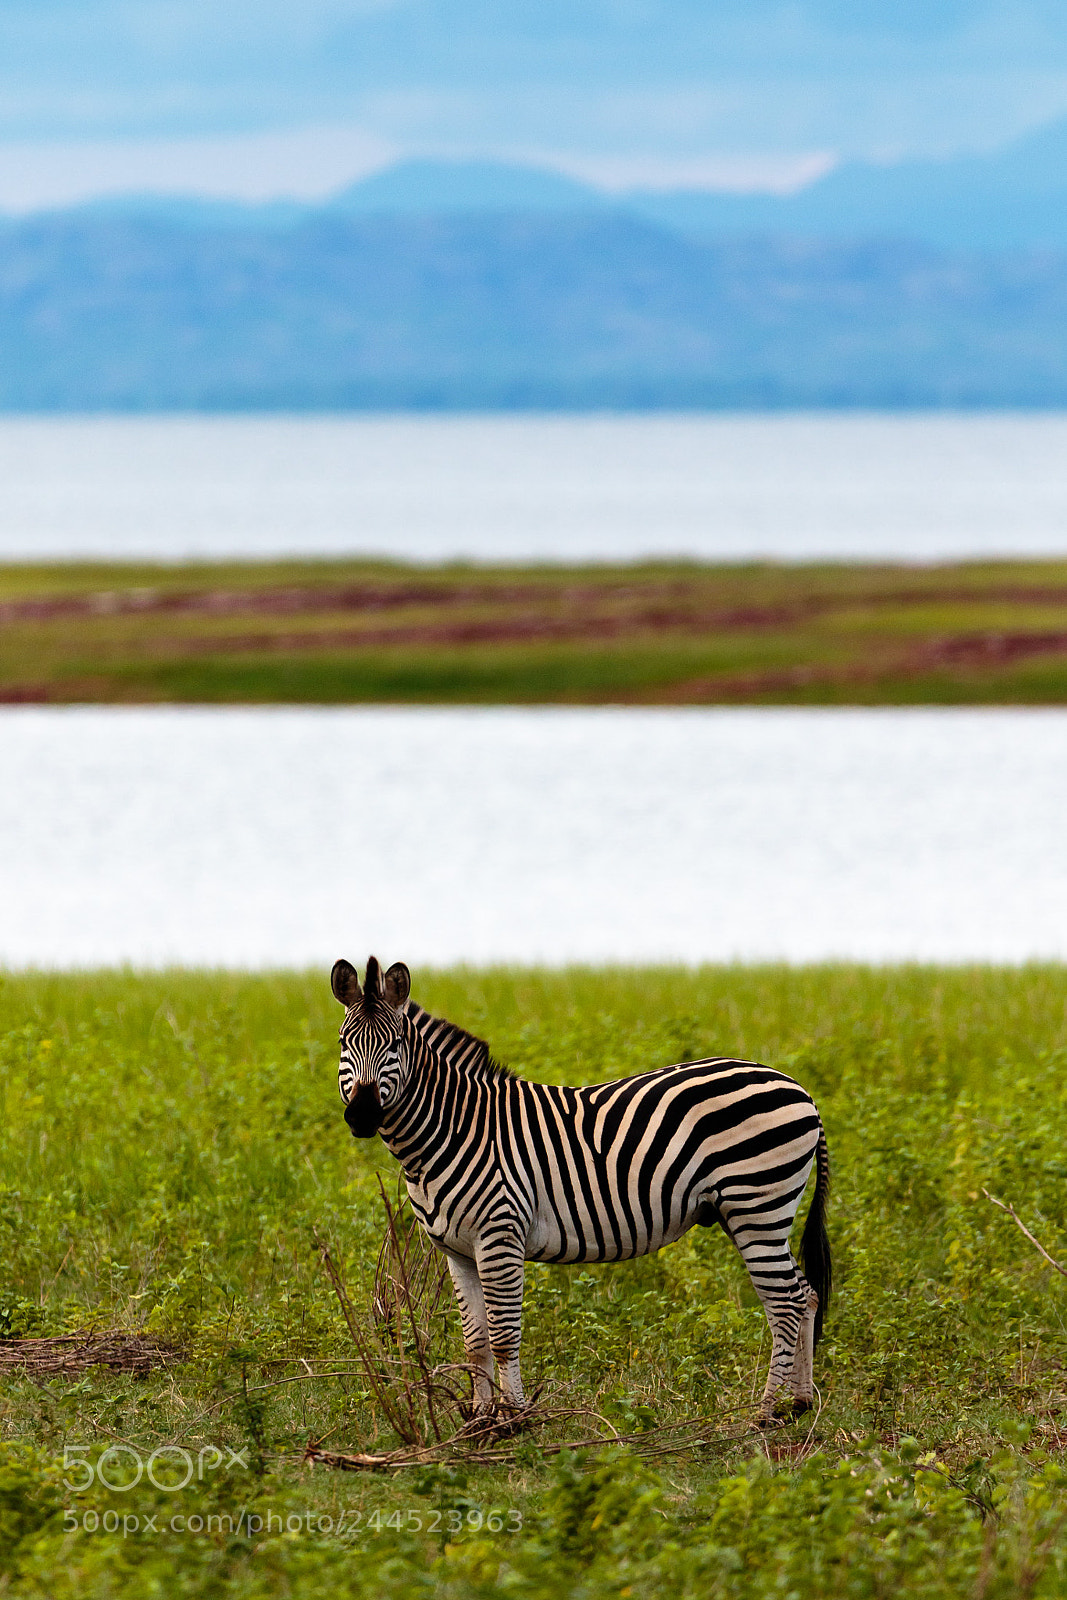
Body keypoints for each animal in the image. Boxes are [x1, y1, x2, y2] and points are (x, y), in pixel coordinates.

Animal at [332, 955, 831, 1425]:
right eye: (343, 1043)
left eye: (395, 1044)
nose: (361, 1115)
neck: (453, 1129)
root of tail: (798, 1087)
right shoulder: (457, 1251)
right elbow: (475, 1341)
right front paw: (479, 1421)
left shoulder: (499, 1236)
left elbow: (504, 1335)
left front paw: (514, 1419)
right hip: (752, 1214)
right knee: (806, 1294)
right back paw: (799, 1404)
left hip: (757, 1208)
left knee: (785, 1304)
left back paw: (765, 1414)